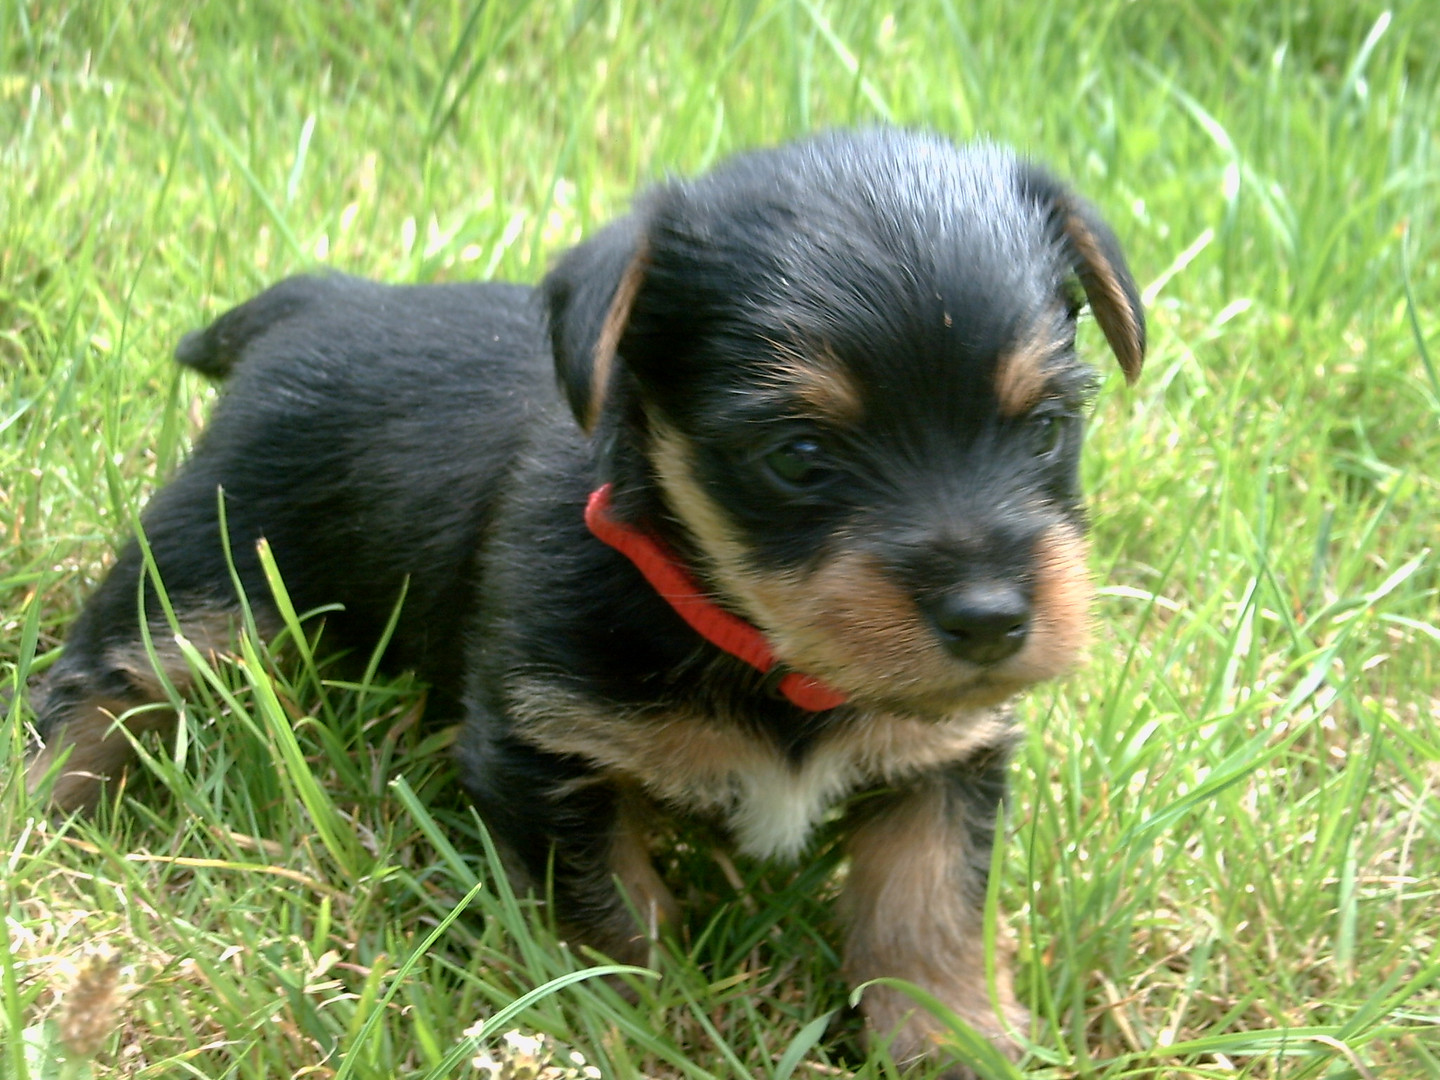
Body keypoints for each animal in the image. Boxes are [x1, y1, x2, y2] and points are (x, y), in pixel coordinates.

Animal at [22, 131, 1146, 1077]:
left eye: (1047, 427)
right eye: (798, 456)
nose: (991, 620)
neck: (751, 638)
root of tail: (326, 300)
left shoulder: (944, 763)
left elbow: (928, 906)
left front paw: (956, 1037)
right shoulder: (545, 752)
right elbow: (607, 925)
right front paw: (616, 1030)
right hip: (208, 566)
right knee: (104, 679)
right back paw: (47, 820)